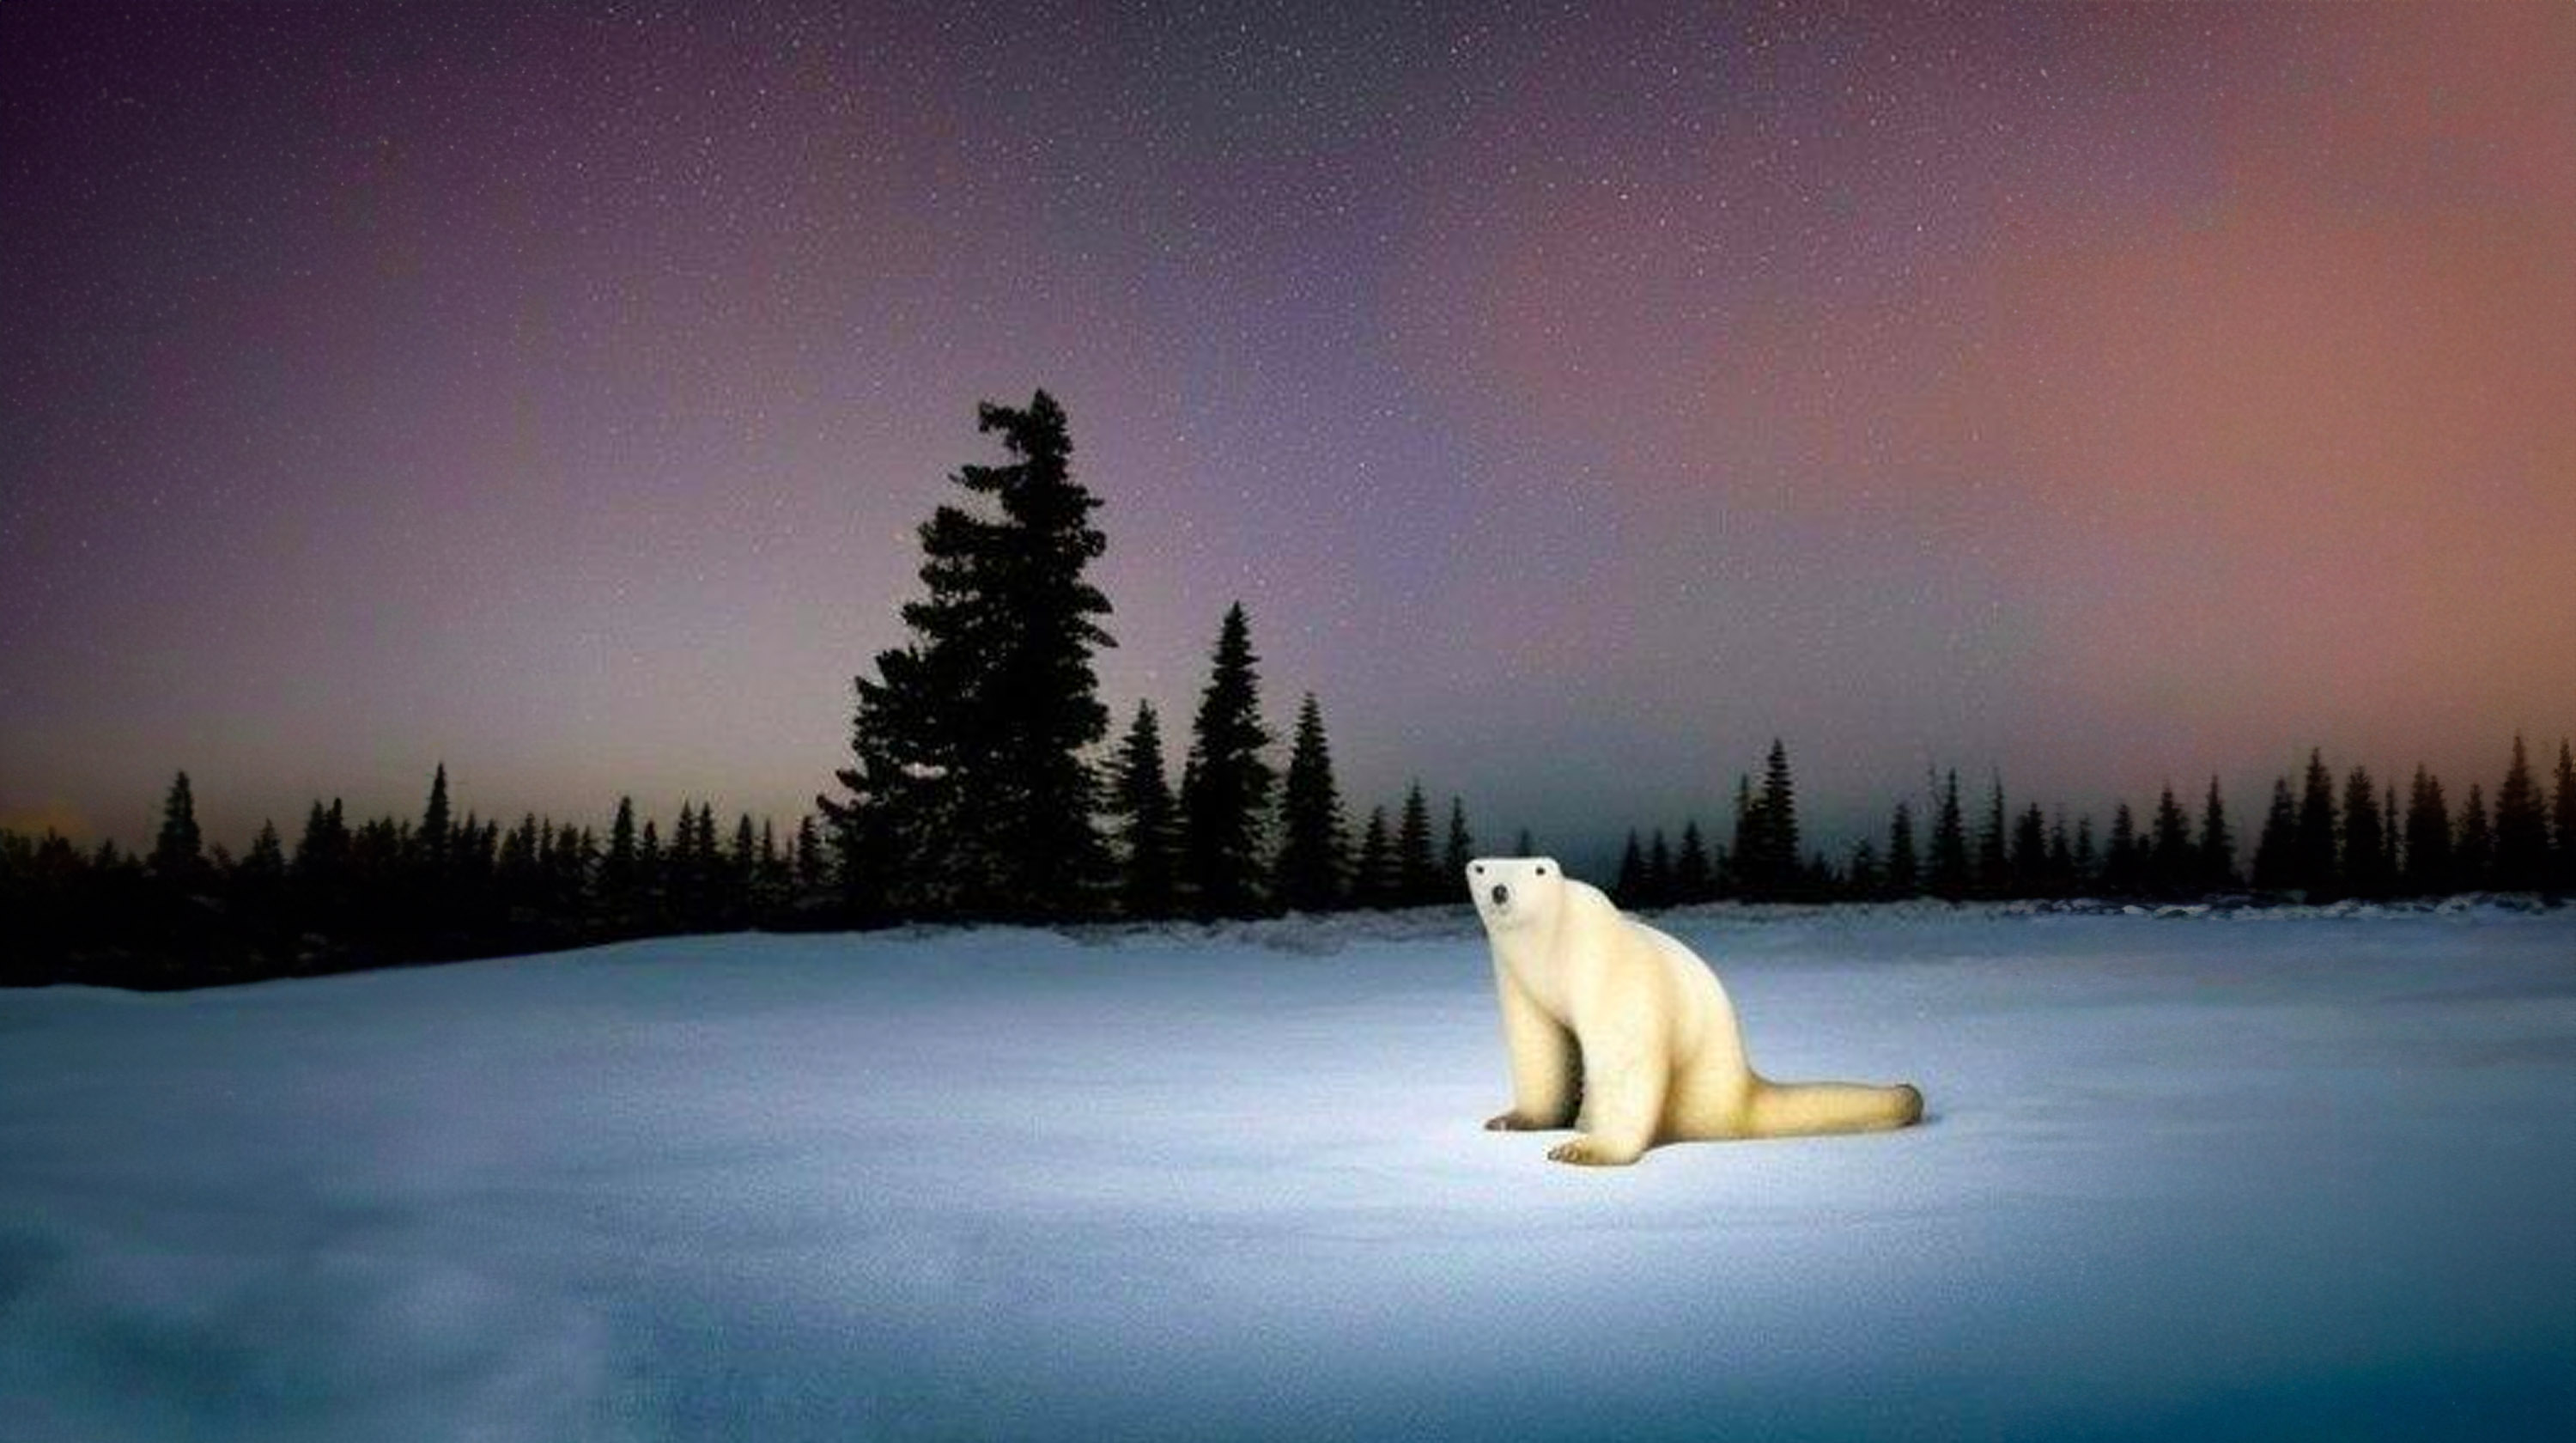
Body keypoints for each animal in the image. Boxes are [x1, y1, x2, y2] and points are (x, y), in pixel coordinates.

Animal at [1468, 856, 1923, 1166]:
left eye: (1537, 871)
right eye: (1481, 869)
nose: (1500, 891)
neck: (1552, 948)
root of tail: (1741, 1089)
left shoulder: (1609, 966)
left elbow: (1626, 1055)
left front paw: (1583, 1148)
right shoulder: (1521, 981)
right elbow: (1540, 1045)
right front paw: (1512, 1119)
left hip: (1697, 1086)